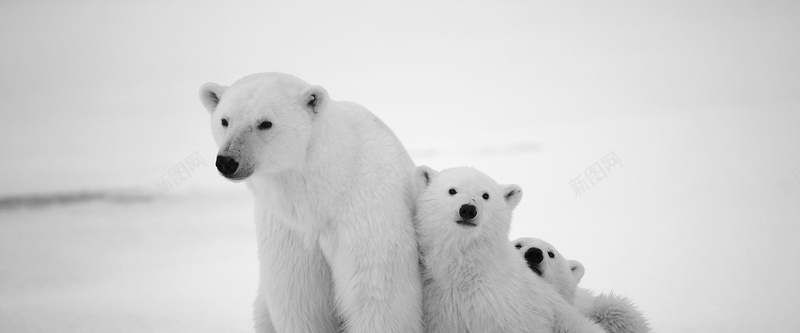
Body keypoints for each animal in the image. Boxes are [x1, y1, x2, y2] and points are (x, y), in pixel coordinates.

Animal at [198, 73, 424, 332]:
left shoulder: (368, 212)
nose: (227, 161)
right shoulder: (288, 229)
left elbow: (378, 294)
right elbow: (300, 297)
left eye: (265, 123)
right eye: (225, 120)